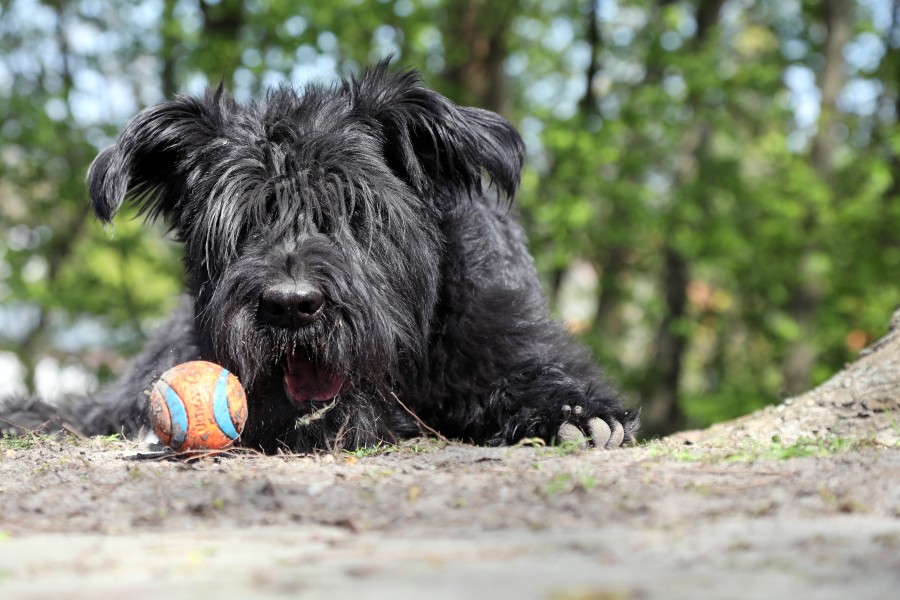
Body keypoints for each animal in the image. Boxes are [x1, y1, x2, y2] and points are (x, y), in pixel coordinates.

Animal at [7, 63, 640, 452]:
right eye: (243, 221)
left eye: (354, 209)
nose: (292, 307)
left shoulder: (503, 332)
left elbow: (533, 370)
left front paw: (571, 413)